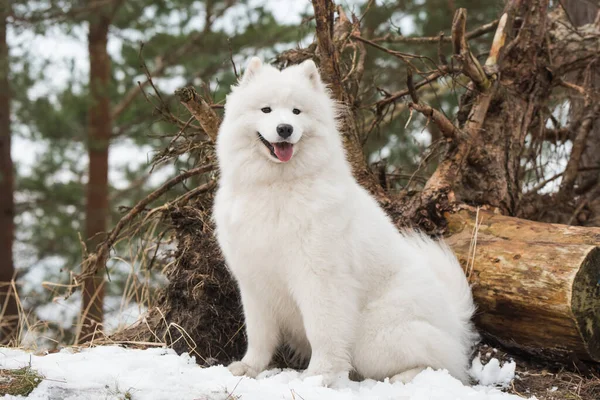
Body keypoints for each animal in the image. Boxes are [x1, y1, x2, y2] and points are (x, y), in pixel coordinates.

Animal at [213, 57, 476, 386]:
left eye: (297, 111)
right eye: (266, 110)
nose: (285, 129)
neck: (277, 187)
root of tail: (455, 321)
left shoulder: (320, 277)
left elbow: (323, 330)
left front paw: (319, 376)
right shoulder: (255, 281)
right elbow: (259, 334)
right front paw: (249, 368)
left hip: (373, 336)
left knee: (442, 365)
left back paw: (401, 379)